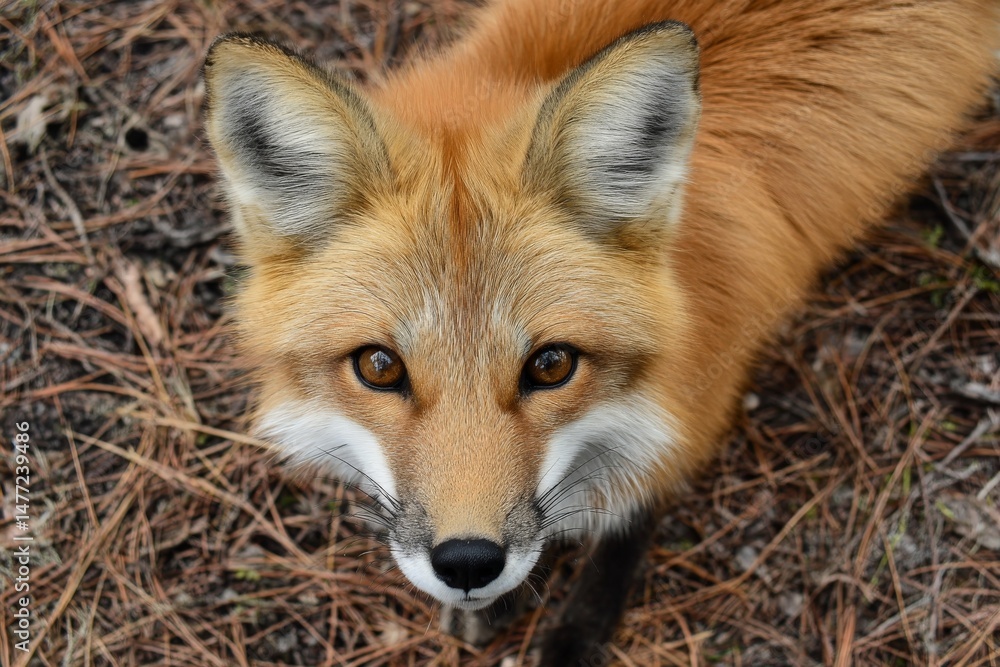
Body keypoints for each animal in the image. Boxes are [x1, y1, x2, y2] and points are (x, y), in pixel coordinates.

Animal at [202, 0, 999, 663]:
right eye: (378, 366)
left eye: (552, 364)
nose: (468, 563)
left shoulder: (704, 389)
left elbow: (628, 509)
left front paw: (577, 628)